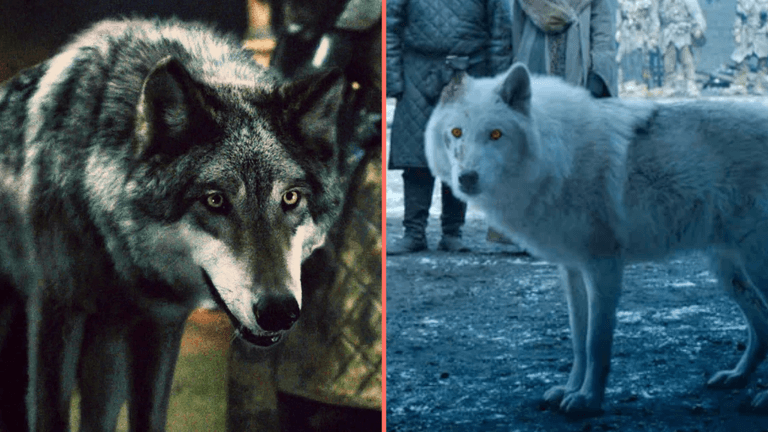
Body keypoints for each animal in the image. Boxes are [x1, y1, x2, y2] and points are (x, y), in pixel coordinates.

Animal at [0, 18, 347, 431]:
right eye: (215, 200)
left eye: (290, 198)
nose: (279, 311)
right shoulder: (55, 314)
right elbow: (49, 415)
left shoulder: (162, 325)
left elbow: (151, 417)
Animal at [425, 62, 768, 416]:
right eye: (456, 133)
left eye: (495, 134)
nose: (466, 178)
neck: (558, 156)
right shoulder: (573, 270)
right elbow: (579, 340)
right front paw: (569, 390)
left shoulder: (603, 267)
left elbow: (596, 343)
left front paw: (588, 400)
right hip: (729, 274)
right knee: (761, 329)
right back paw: (737, 377)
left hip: (754, 267)